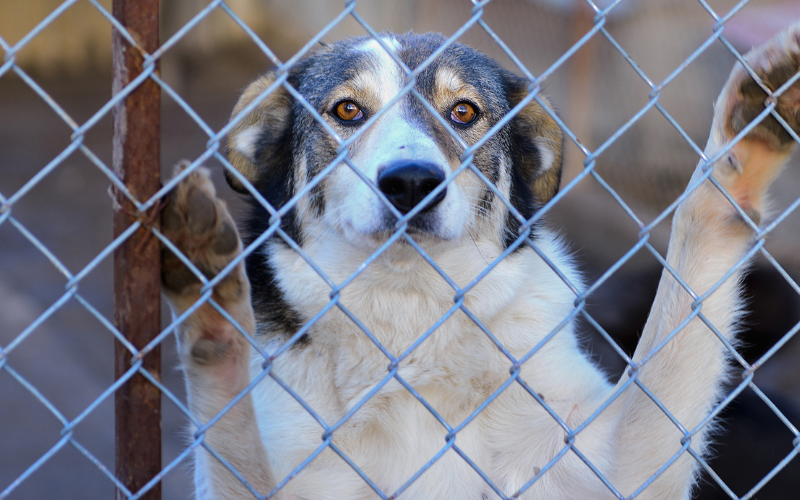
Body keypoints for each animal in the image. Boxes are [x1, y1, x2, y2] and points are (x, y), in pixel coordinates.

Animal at [158, 27, 800, 500]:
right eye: (347, 110)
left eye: (464, 112)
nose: (411, 182)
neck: (411, 325)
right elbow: (230, 429)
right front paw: (209, 296)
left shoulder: (620, 468)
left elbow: (685, 291)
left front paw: (750, 138)